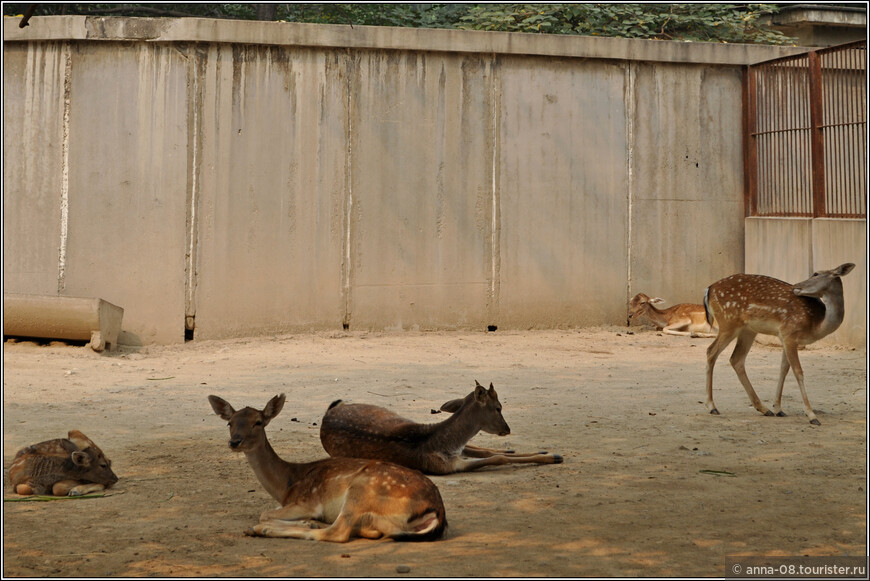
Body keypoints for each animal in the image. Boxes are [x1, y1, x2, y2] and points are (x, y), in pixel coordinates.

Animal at [208, 392, 446, 540]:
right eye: (230, 422)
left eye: (258, 422)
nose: (235, 442)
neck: (287, 485)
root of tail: (437, 512)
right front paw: (307, 522)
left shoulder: (308, 501)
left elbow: (264, 513)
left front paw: (305, 522)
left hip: (362, 489)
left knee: (337, 533)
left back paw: (263, 529)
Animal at [320, 380, 564, 472]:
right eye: (498, 407)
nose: (507, 429)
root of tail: (327, 414)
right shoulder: (450, 466)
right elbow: (496, 458)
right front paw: (553, 456)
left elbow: (487, 452)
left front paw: (550, 453)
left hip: (394, 413)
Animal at [704, 260, 856, 424]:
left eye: (816, 273)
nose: (795, 286)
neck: (816, 325)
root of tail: (709, 289)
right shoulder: (789, 333)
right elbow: (798, 372)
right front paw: (812, 416)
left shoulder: (787, 337)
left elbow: (784, 369)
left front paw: (778, 408)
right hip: (728, 322)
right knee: (711, 351)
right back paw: (712, 406)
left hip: (748, 329)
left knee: (736, 359)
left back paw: (764, 409)